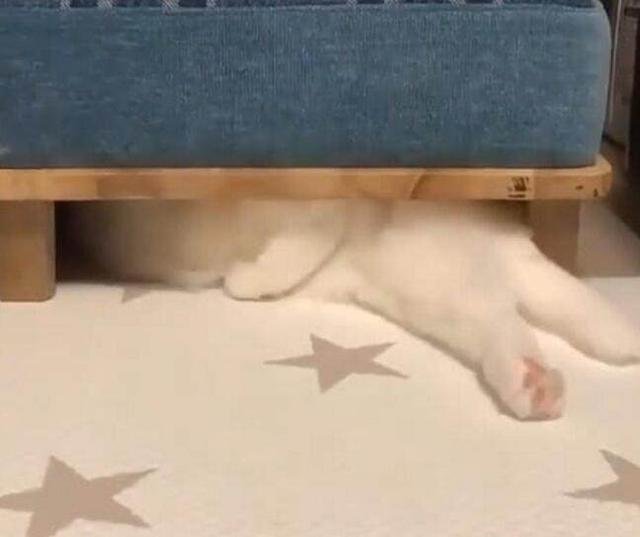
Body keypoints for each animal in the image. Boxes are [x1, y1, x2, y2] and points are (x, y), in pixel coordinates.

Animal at [69, 199, 640, 420]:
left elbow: (311, 228)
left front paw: (249, 280)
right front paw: (246, 278)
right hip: (438, 293)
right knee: (506, 322)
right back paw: (536, 384)